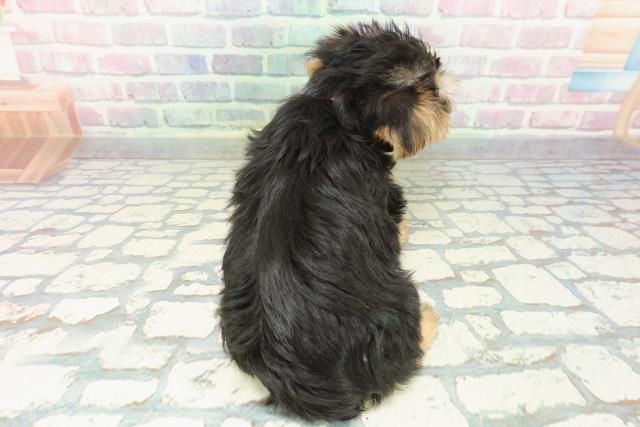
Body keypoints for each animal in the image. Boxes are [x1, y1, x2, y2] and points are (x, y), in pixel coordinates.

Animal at [220, 21, 452, 421]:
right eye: (430, 86)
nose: (445, 99)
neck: (334, 105)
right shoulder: (382, 191)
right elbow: (395, 218)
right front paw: (404, 230)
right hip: (396, 306)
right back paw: (428, 322)